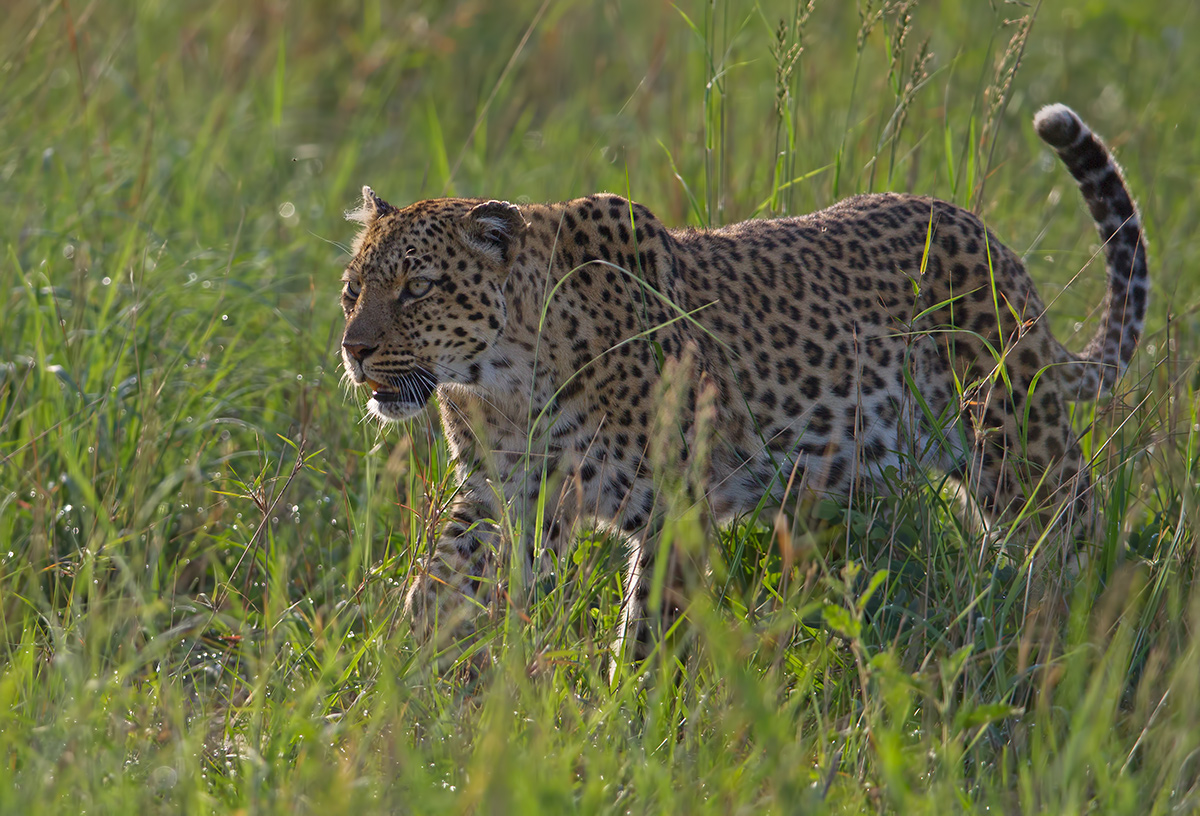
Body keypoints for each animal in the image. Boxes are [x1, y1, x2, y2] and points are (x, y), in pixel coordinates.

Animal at [338, 103, 1147, 665]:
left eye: (417, 289)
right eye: (353, 291)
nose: (353, 349)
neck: (504, 383)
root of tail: (991, 242)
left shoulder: (674, 506)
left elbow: (647, 627)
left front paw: (628, 723)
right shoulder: (503, 495)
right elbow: (438, 589)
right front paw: (393, 688)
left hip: (1020, 448)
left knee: (1081, 538)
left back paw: (1099, 638)